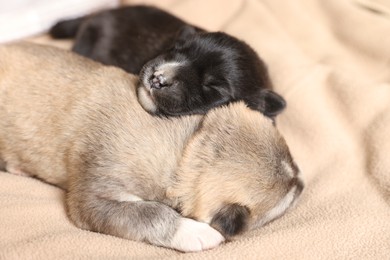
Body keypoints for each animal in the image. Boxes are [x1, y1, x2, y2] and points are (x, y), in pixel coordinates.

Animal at [0, 43, 304, 253]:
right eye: (289, 197)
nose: (302, 183)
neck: (187, 151)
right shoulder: (94, 200)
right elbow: (150, 213)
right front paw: (196, 232)